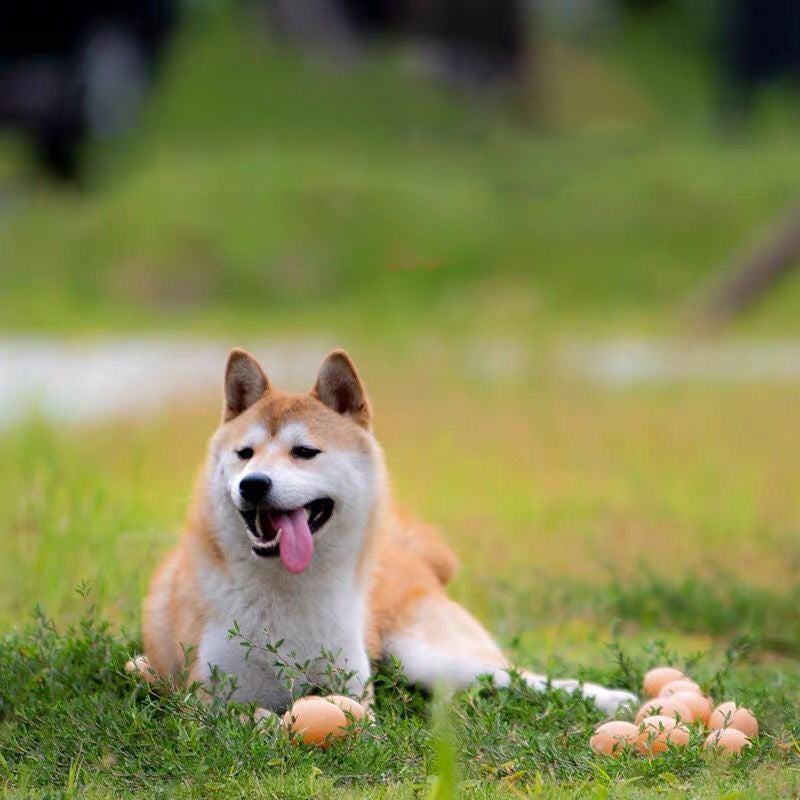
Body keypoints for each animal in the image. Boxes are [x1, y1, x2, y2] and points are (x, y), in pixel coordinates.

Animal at [138, 346, 636, 716]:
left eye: (304, 452)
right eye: (245, 453)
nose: (254, 484)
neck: (287, 593)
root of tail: (408, 553)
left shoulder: (352, 690)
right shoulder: (211, 703)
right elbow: (253, 715)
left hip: (430, 657)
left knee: (523, 677)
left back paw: (612, 699)